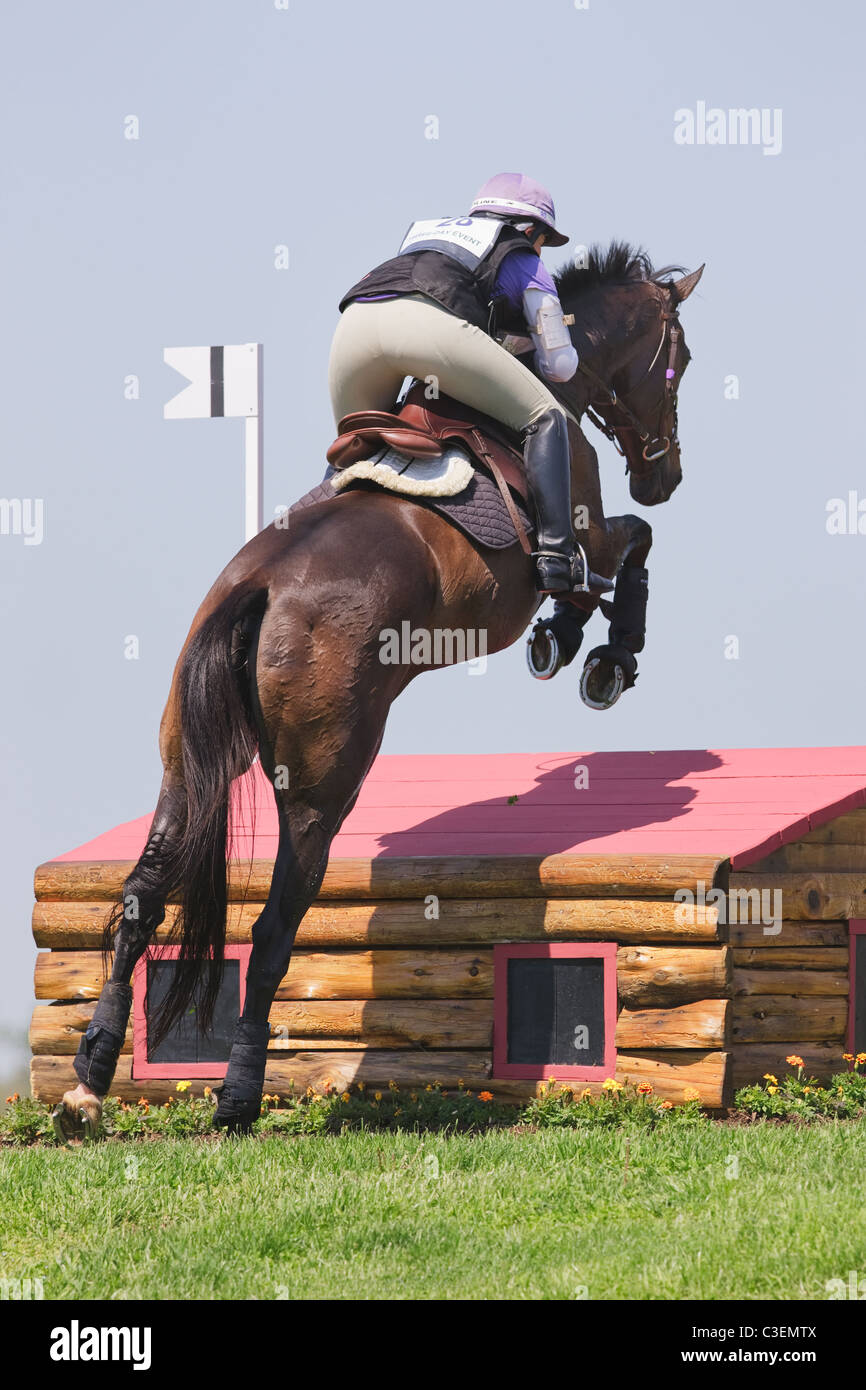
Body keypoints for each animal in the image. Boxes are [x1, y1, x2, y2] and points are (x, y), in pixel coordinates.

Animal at [52, 241, 706, 1139]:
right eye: (680, 362)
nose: (664, 476)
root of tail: (256, 588)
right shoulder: (584, 529)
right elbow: (629, 549)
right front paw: (598, 654)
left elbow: (624, 554)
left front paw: (578, 640)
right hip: (324, 784)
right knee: (273, 929)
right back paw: (236, 1097)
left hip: (186, 768)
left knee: (140, 902)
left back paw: (88, 1082)